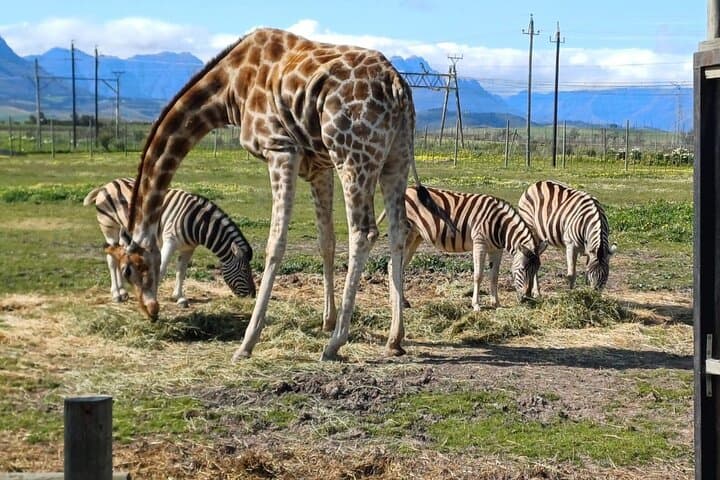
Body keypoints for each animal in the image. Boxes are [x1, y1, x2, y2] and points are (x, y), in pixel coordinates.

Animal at [115, 27, 450, 361]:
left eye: (129, 270)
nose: (150, 310)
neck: (230, 89)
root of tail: (398, 85)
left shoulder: (280, 148)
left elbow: (275, 243)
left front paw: (247, 343)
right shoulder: (318, 166)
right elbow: (326, 241)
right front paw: (326, 320)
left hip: (352, 155)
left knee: (363, 232)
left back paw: (334, 345)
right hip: (396, 156)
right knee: (397, 231)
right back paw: (394, 338)